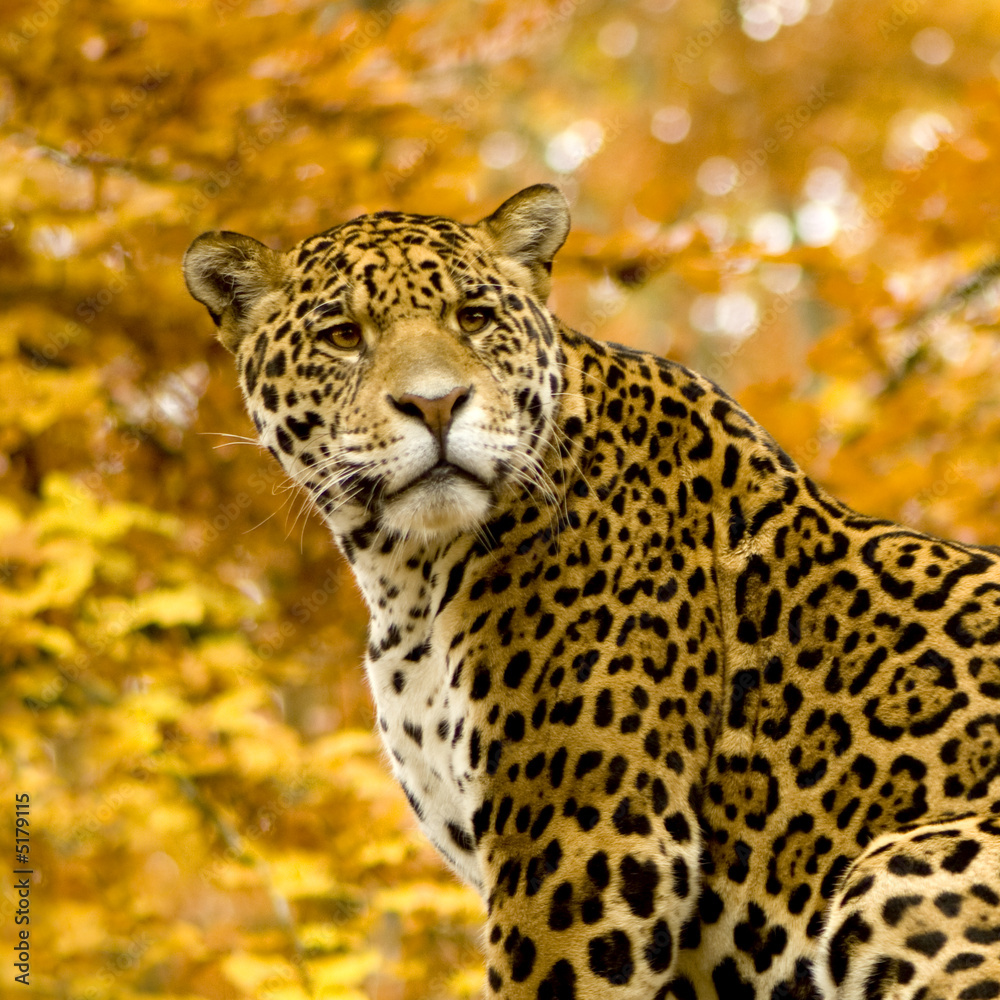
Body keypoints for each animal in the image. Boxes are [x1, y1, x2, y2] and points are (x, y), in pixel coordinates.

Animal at [184, 185, 1000, 1000]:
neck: (407, 578)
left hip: (894, 868)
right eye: (343, 336)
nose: (437, 405)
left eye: (473, 317)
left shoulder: (588, 840)